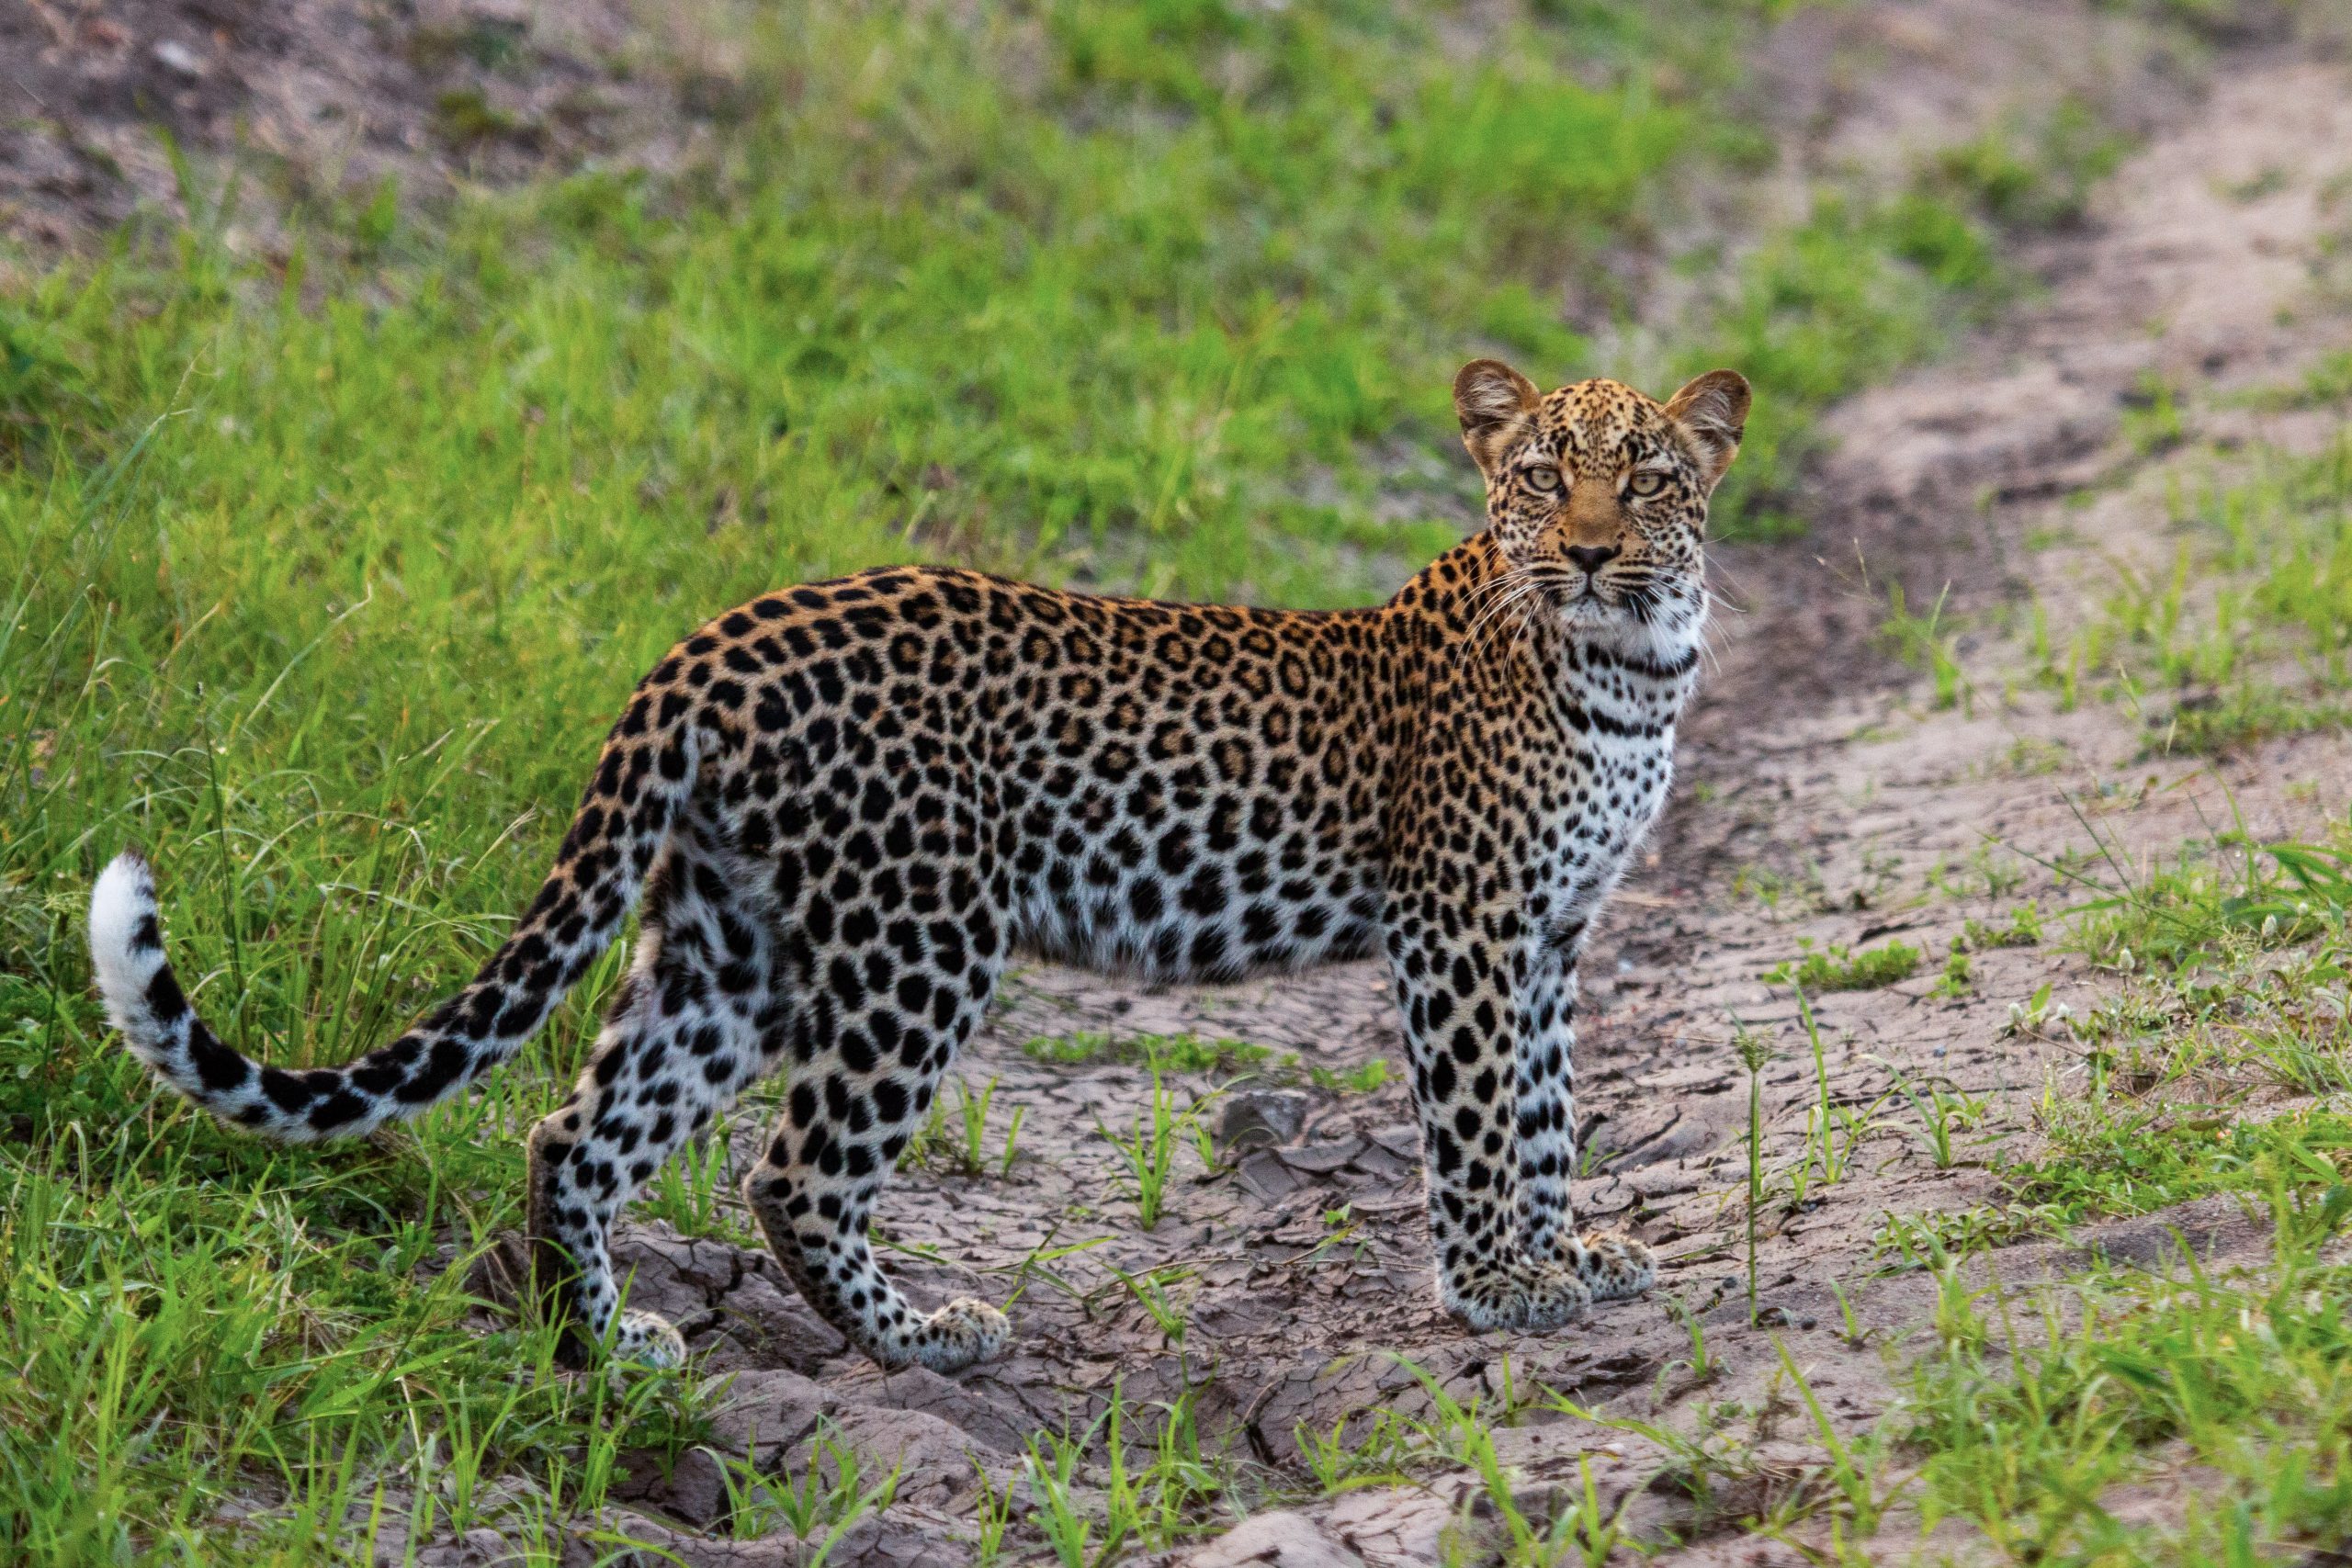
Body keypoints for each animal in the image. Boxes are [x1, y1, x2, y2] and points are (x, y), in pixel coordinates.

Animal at [88, 359, 1749, 1374]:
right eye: (1542, 474)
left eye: (1649, 478)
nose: (1590, 550)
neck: (1633, 662)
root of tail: (711, 639)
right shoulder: (1461, 926)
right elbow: (1478, 1119)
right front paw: (1498, 1289)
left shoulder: (1552, 935)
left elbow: (1548, 1110)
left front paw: (1568, 1254)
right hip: (924, 936)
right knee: (795, 1165)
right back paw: (923, 1337)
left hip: (733, 945)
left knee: (580, 1131)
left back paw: (609, 1349)